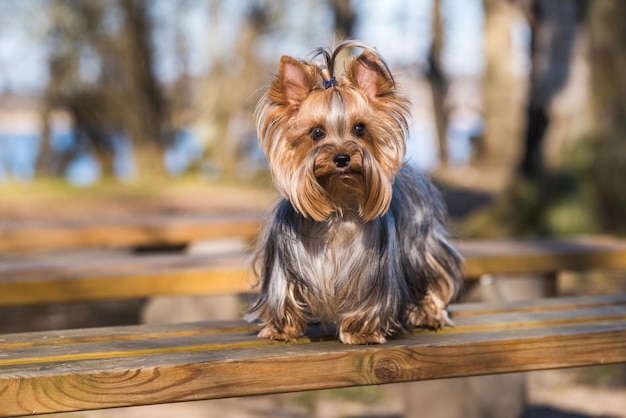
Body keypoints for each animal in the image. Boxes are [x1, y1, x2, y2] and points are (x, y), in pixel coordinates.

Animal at [246, 40, 460, 344]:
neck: (339, 205)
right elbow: (282, 293)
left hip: (424, 248)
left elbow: (367, 303)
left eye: (360, 128)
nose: (342, 158)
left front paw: (361, 332)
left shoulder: (374, 274)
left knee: (434, 279)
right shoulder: (282, 266)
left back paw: (431, 316)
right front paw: (281, 328)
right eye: (316, 132)